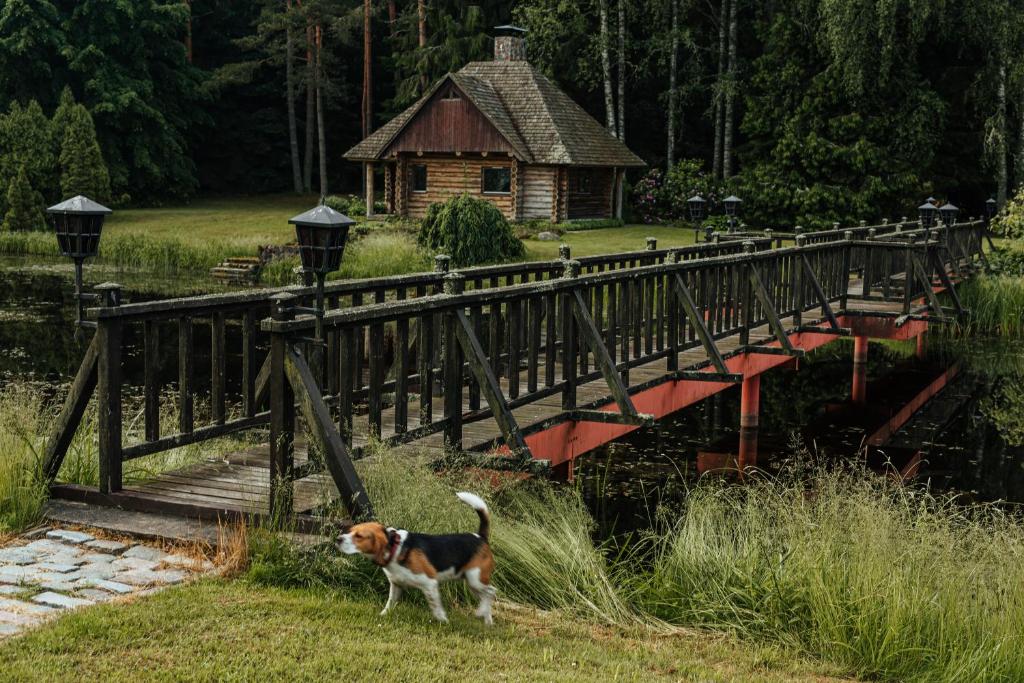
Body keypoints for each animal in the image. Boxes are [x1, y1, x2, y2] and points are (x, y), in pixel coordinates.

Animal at [335, 491, 495, 626]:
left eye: (359, 536)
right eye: (350, 531)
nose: (338, 539)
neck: (395, 548)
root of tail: (480, 537)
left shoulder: (430, 583)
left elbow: (435, 607)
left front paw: (443, 621)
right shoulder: (396, 585)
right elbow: (389, 603)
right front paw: (383, 615)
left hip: (475, 579)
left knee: (491, 592)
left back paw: (481, 612)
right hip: (472, 583)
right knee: (486, 596)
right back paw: (488, 621)